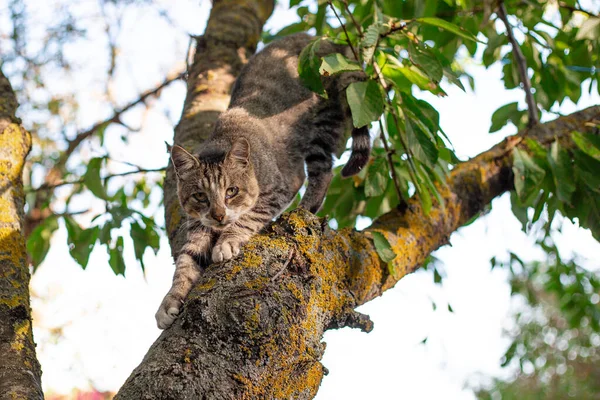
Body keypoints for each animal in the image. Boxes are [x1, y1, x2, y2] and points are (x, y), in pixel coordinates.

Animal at [155, 33, 370, 328]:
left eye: (231, 191)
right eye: (200, 196)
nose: (219, 215)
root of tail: (324, 39)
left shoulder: (281, 188)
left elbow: (248, 217)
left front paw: (226, 243)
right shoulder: (197, 224)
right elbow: (186, 263)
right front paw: (169, 301)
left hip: (323, 124)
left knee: (323, 171)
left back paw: (306, 207)